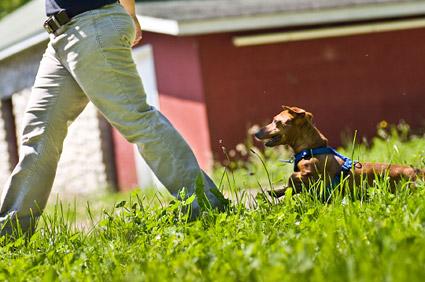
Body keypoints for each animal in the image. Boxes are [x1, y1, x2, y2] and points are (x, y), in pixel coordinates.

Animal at [253, 106, 422, 198]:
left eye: (276, 121)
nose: (255, 133)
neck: (312, 150)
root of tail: (419, 171)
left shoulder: (312, 175)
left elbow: (293, 177)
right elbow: (291, 186)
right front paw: (277, 192)